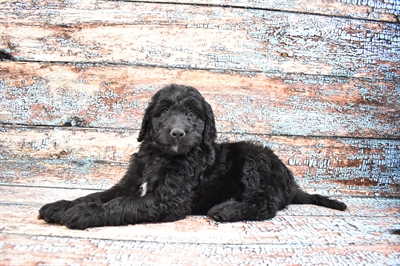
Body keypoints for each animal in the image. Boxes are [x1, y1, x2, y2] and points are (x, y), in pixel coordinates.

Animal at [39, 84, 346, 230]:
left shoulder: (168, 199)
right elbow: (101, 195)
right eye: (163, 112)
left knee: (265, 204)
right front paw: (60, 205)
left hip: (254, 161)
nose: (177, 133)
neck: (161, 156)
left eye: (193, 114)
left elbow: (119, 204)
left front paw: (83, 214)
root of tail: (291, 183)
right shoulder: (130, 184)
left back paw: (227, 209)